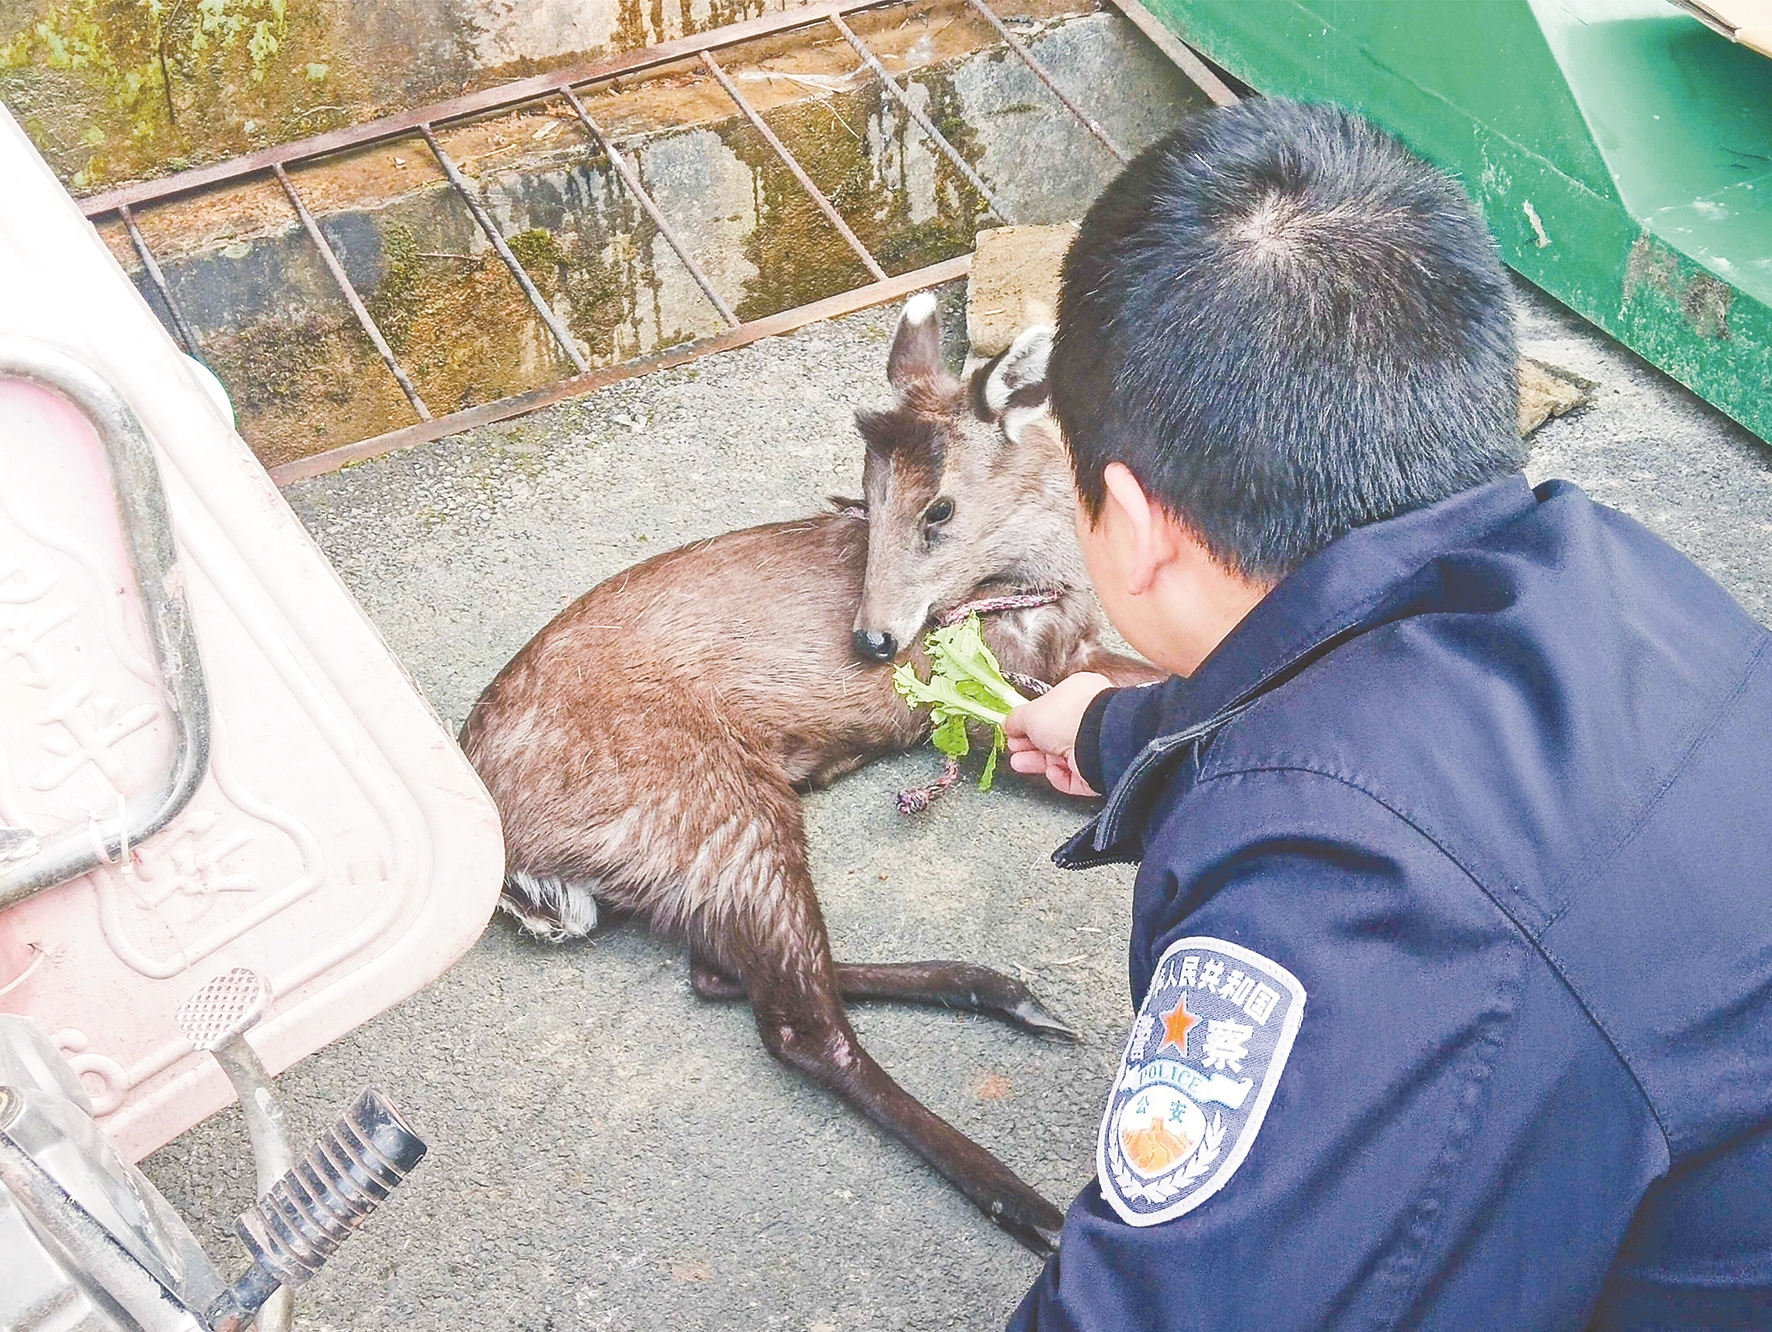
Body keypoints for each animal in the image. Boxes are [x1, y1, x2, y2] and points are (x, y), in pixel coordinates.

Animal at [453, 288, 1162, 1246]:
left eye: (938, 510)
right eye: (865, 496)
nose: (873, 641)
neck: (1045, 594)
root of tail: (514, 866)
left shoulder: (1072, 657)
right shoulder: (987, 702)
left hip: (692, 844)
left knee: (722, 972)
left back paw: (1003, 993)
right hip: (717, 802)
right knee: (796, 1026)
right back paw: (1031, 1205)